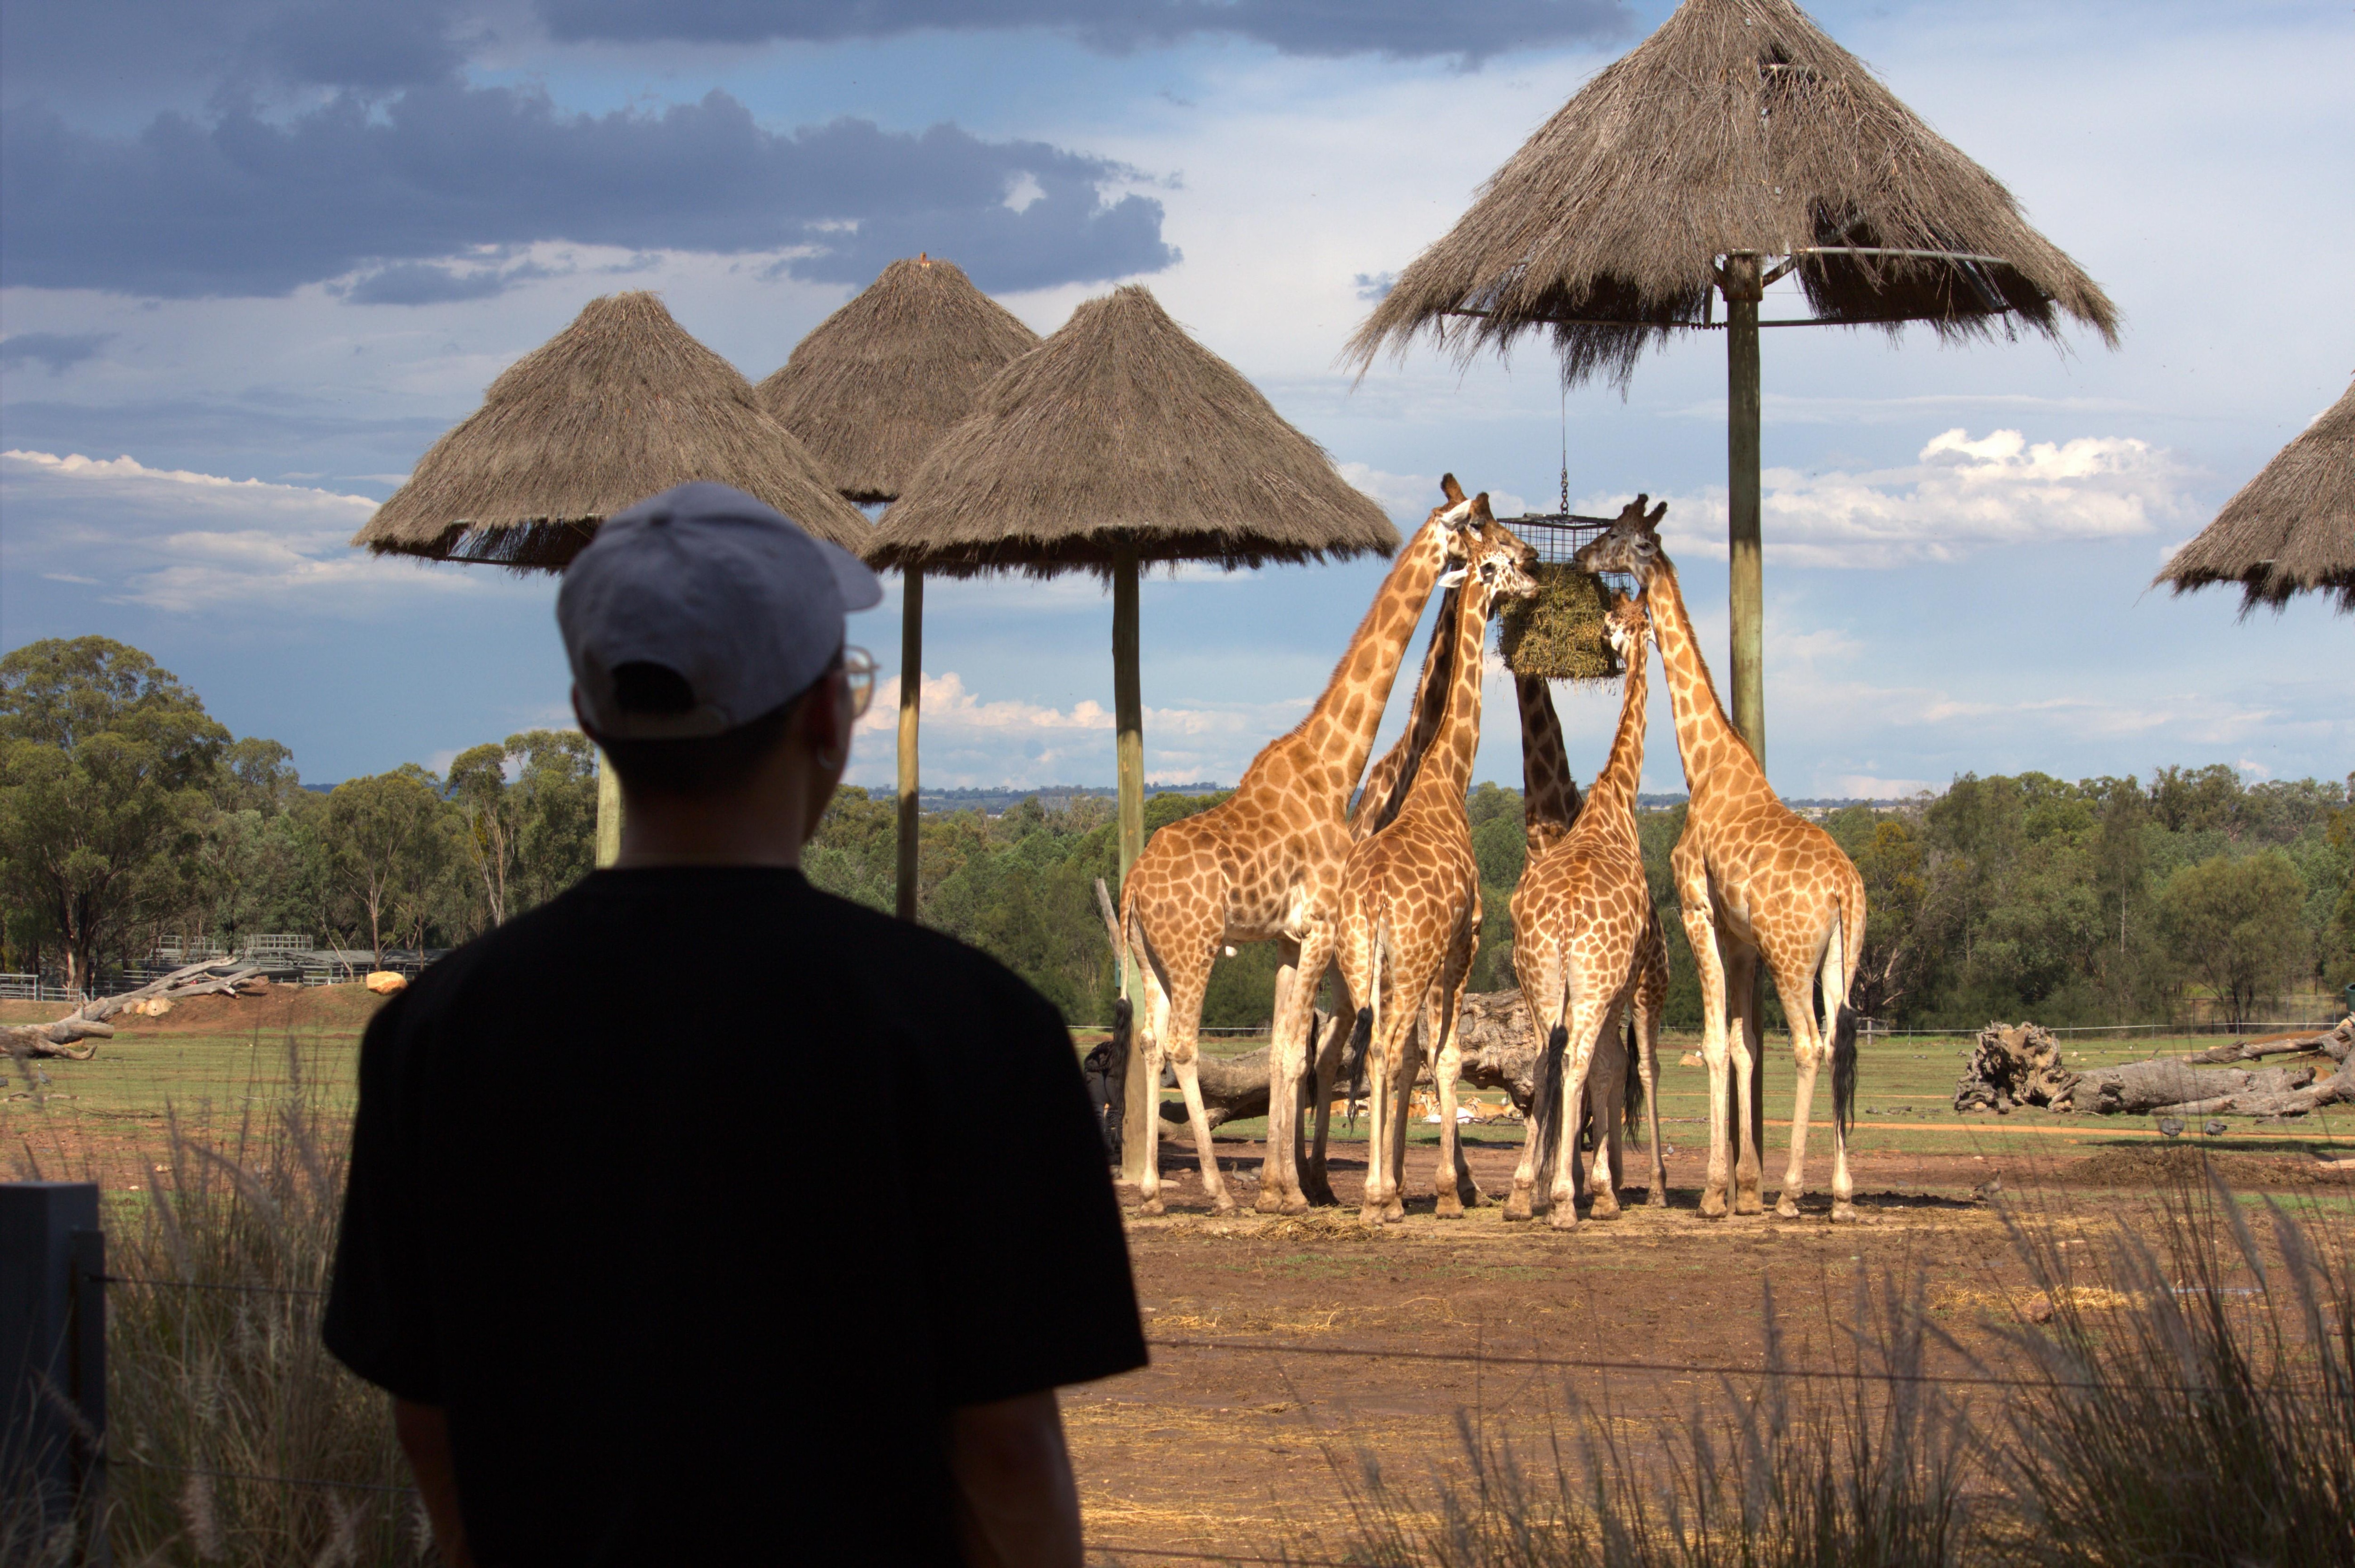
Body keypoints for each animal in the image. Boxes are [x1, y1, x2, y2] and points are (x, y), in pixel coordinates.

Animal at [1116, 482, 1479, 1215]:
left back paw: (1153, 1190)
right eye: (1470, 529)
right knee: (1184, 1043)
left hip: (1151, 956)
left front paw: (1284, 1190)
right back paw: (1217, 1189)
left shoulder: (1288, 936)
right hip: (1197, 948)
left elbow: (1287, 1052)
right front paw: (1287, 1194)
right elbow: (1299, 1053)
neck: (1335, 767)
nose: (1501, 556)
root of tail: (1133, 887)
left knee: (1149, 1039)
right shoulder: (1320, 925)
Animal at [1338, 501, 1535, 1224]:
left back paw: (1379, 1194)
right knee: (1390, 1046)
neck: (1447, 778)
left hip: (1360, 957)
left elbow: (1417, 1058)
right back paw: (1378, 1197)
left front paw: (1418, 1181)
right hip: (1412, 956)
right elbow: (1446, 1057)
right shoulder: (1463, 939)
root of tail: (1370, 899)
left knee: (1372, 1050)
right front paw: (1449, 1189)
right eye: (1502, 559)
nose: (1535, 573)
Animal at [1573, 494, 1865, 1215]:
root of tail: (1845, 889)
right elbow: (1742, 1045)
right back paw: (1842, 1193)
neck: (1705, 767)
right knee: (1840, 1044)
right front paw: (1743, 1186)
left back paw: (1793, 1192)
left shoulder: (1697, 909)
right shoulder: (1739, 938)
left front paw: (1715, 1191)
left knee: (1811, 1045)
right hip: (1841, 956)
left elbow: (1711, 1043)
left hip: (1792, 955)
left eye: (1618, 535)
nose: (1582, 557)